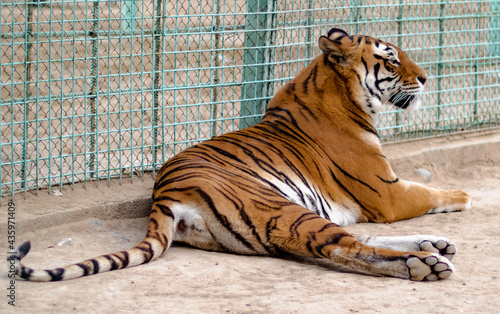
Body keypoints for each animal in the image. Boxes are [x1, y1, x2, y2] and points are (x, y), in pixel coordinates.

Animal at [12, 28, 472, 280]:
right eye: (390, 61)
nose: (426, 78)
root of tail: (164, 194)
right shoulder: (388, 192)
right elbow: (431, 192)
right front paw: (465, 196)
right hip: (282, 207)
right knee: (344, 247)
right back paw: (424, 263)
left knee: (350, 239)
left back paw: (432, 244)